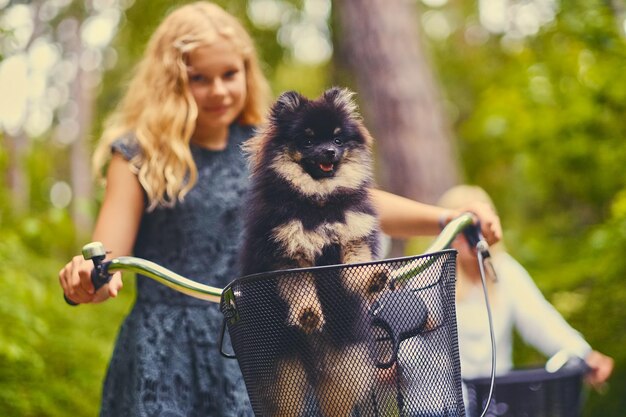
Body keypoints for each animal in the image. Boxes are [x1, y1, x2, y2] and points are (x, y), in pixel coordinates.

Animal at [239, 86, 386, 414]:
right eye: (307, 140)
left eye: (338, 139)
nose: (329, 151)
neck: (320, 202)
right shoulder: (288, 252)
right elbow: (300, 288)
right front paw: (307, 313)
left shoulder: (352, 238)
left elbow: (358, 268)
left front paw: (373, 278)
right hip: (284, 374)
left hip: (343, 369)